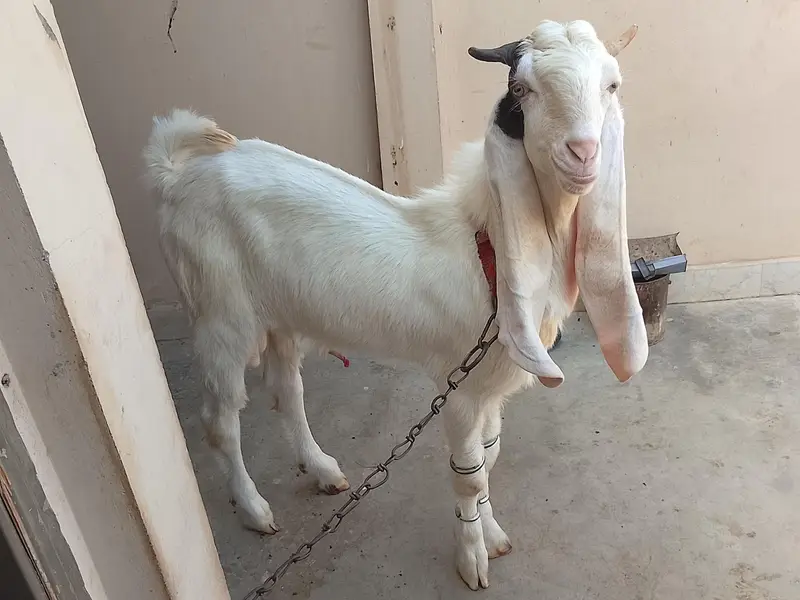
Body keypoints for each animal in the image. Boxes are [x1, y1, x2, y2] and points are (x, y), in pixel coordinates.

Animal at [143, 19, 647, 590]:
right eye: (522, 89)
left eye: (611, 85)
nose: (583, 153)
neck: (486, 245)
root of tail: (176, 175)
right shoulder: (459, 386)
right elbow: (470, 475)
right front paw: (471, 558)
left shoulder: (489, 385)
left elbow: (490, 456)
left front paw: (492, 535)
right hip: (219, 312)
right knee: (221, 419)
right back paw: (254, 509)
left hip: (280, 313)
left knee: (286, 392)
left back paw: (322, 470)